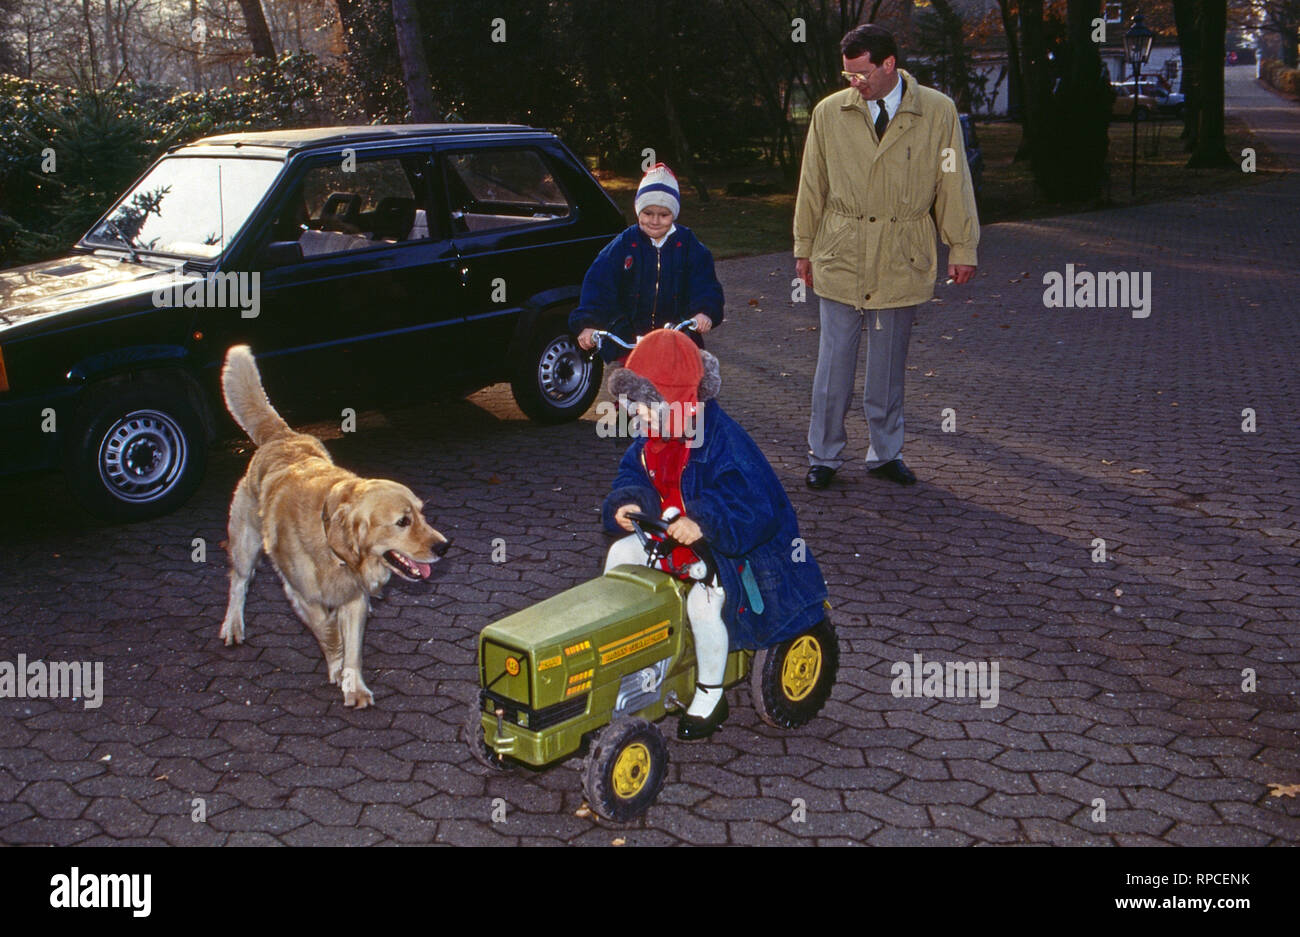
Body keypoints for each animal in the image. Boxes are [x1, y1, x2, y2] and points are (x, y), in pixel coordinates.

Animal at [219, 348, 452, 706]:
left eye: (422, 514)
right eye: (403, 521)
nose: (444, 546)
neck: (333, 545)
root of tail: (282, 435)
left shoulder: (353, 598)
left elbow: (353, 647)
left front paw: (353, 686)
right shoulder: (300, 592)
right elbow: (326, 629)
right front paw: (336, 662)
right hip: (245, 543)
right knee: (239, 582)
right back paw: (233, 625)